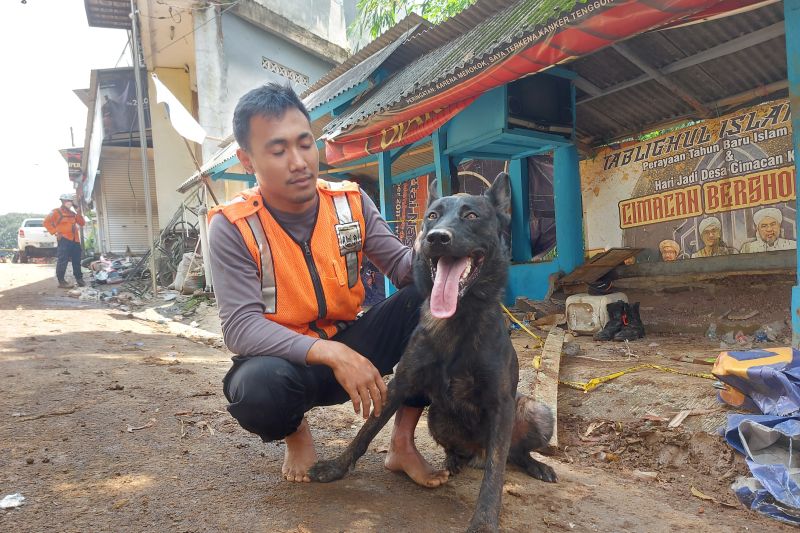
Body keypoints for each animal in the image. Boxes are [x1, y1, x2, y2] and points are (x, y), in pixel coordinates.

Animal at [310, 172, 552, 528]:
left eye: (471, 216)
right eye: (432, 216)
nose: (436, 238)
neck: (457, 321)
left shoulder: (501, 404)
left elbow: (495, 473)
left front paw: (484, 520)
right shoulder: (401, 383)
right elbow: (366, 431)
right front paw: (337, 467)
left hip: (536, 411)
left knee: (513, 453)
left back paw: (536, 465)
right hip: (438, 417)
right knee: (467, 451)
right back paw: (454, 462)